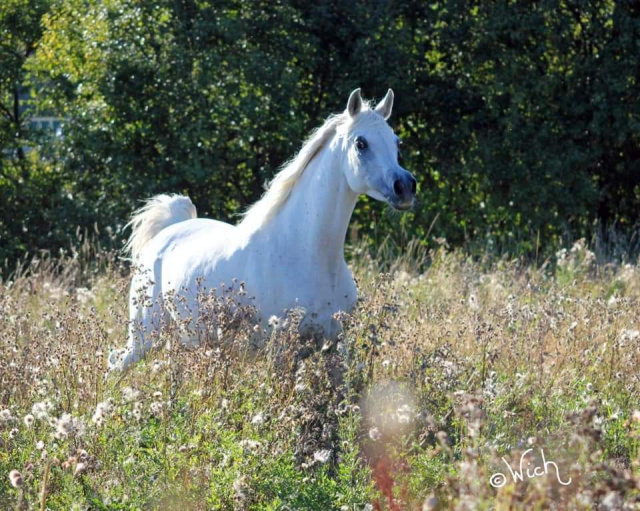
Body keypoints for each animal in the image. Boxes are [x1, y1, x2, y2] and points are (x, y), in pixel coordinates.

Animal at [109, 89, 420, 372]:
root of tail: (166, 234)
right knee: (115, 363)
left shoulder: (333, 347)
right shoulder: (281, 351)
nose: (405, 187)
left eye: (397, 142)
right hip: (144, 335)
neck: (308, 254)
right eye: (361, 143)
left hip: (189, 340)